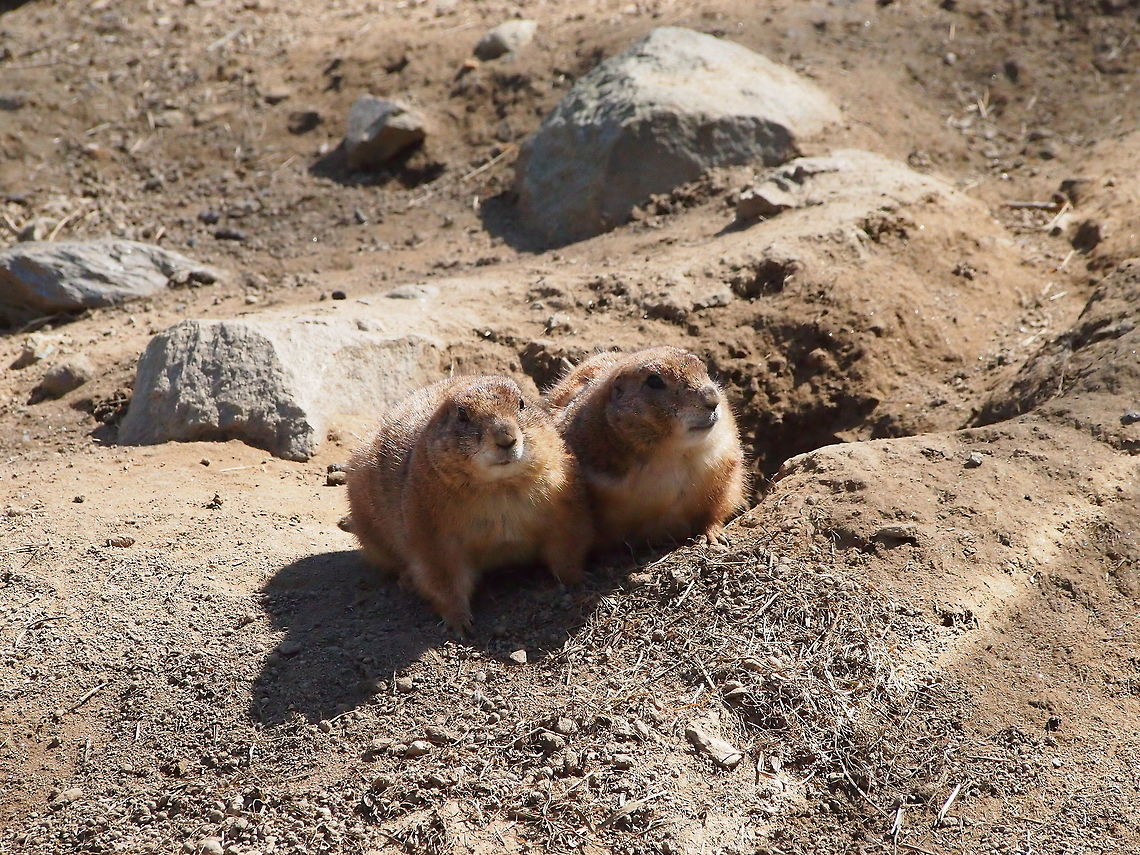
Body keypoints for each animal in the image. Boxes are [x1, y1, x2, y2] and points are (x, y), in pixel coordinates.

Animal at [346, 375, 592, 632]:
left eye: (522, 403)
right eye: (462, 414)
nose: (506, 439)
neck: (499, 486)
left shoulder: (563, 500)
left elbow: (567, 543)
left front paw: (578, 580)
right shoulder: (429, 525)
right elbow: (442, 572)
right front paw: (459, 622)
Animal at [549, 346, 747, 549]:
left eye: (704, 368)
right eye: (654, 381)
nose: (713, 399)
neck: (672, 452)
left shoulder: (723, 463)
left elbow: (717, 509)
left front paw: (713, 535)